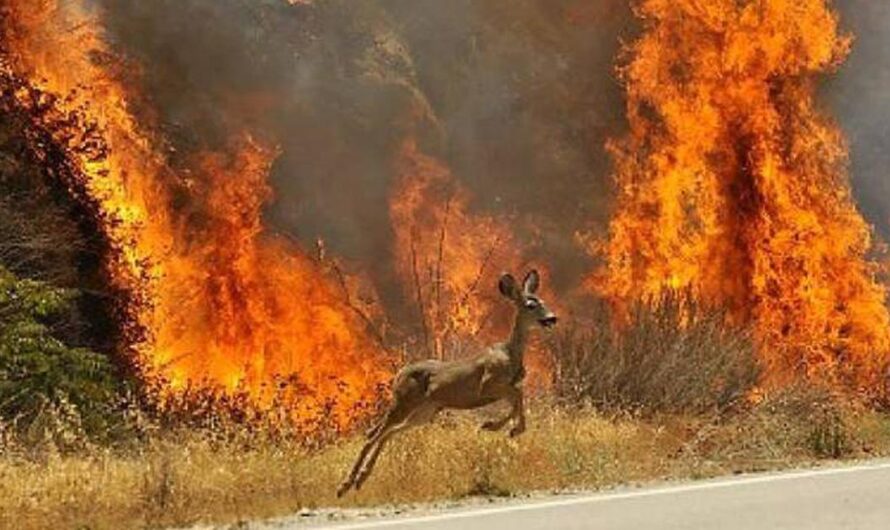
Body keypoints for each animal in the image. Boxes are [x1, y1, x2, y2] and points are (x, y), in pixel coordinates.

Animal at [336, 268, 560, 496]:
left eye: (543, 301)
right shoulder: (487, 384)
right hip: (404, 402)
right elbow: (518, 396)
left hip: (424, 412)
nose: (552, 318)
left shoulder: (504, 387)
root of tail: (398, 375)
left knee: (387, 432)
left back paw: (360, 479)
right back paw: (346, 484)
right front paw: (499, 426)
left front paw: (506, 428)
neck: (511, 354)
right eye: (530, 305)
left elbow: (517, 400)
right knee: (373, 436)